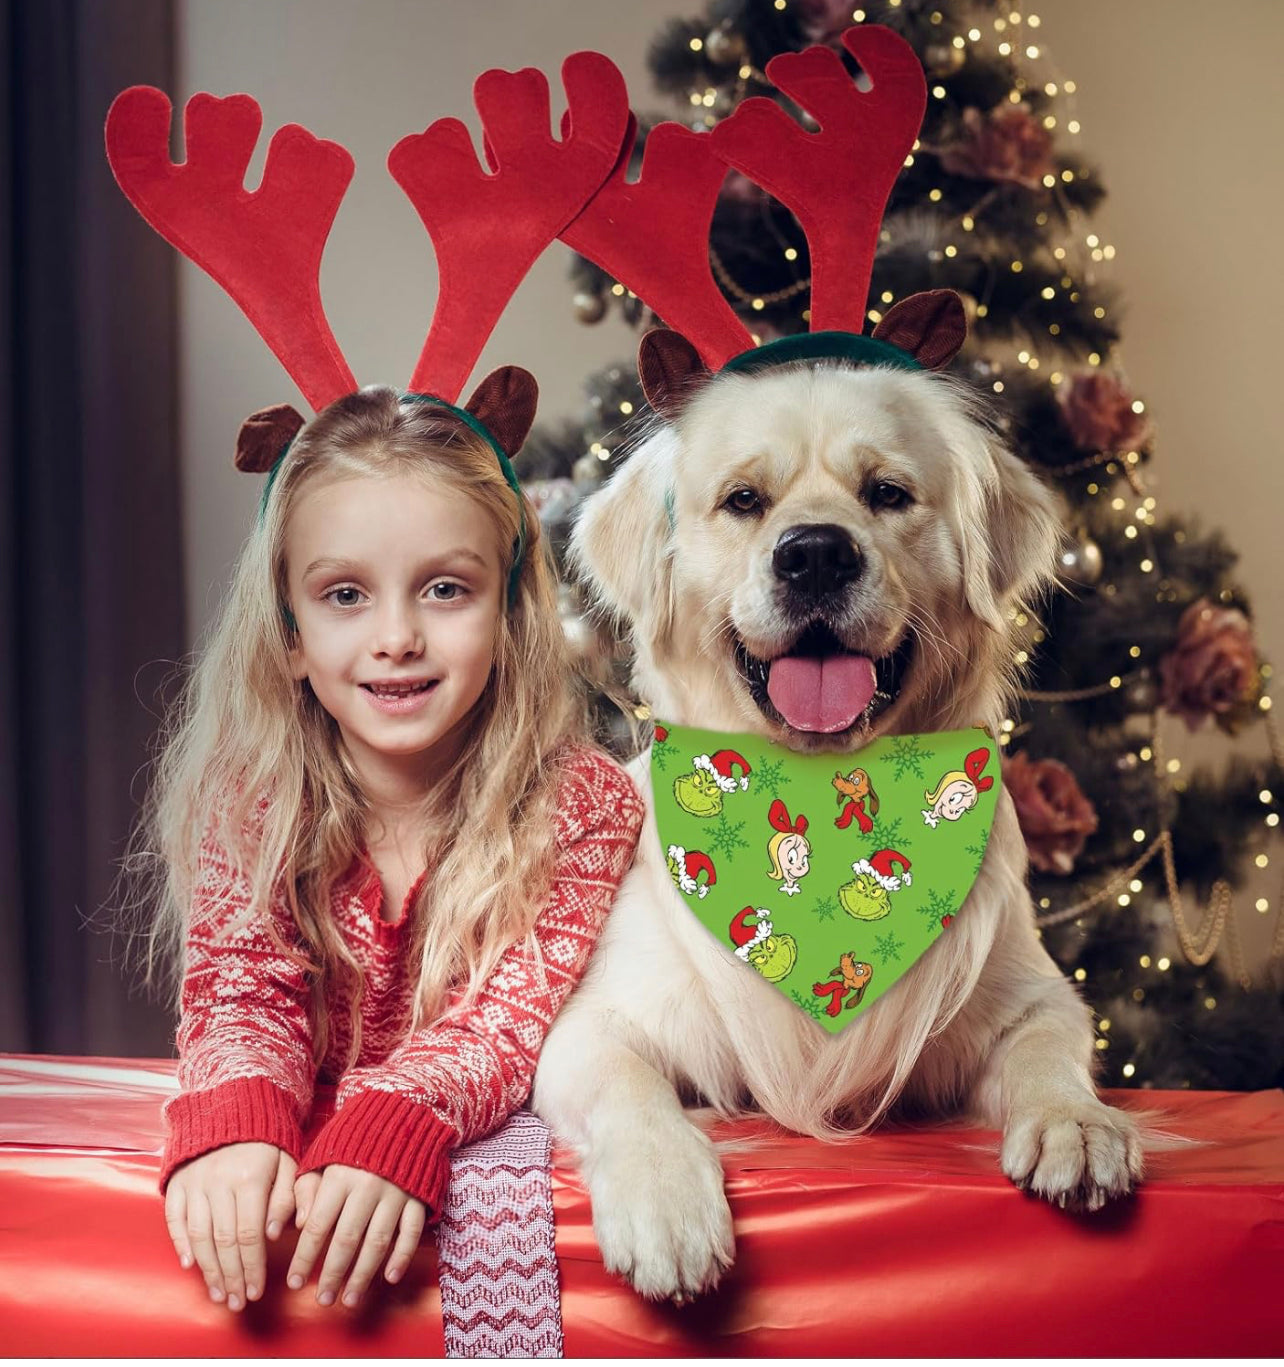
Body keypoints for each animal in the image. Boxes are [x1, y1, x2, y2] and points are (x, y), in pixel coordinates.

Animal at [533, 344, 1143, 1301]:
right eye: (744, 499)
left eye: (886, 492)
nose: (816, 554)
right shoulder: (594, 1022)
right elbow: (632, 1089)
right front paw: (665, 1197)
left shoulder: (1033, 992)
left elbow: (1050, 1048)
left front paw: (1077, 1123)